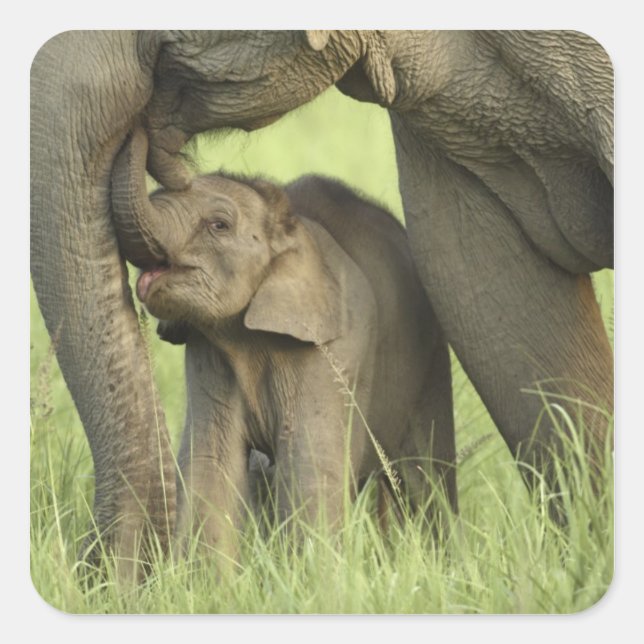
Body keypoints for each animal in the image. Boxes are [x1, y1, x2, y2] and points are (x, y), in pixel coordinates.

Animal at [111, 127, 457, 561]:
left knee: (425, 477)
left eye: (219, 225)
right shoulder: (208, 351)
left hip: (430, 358)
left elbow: (307, 461)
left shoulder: (332, 350)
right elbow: (212, 461)